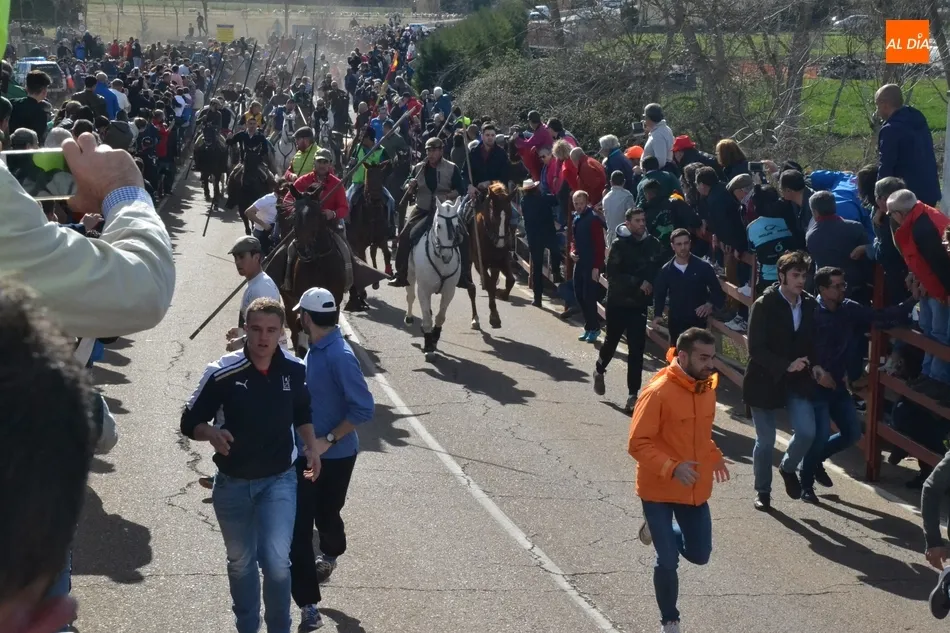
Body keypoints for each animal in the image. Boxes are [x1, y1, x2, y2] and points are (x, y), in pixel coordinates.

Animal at [405, 198, 465, 361]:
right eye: (439, 225)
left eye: (457, 226)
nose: (447, 256)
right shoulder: (423, 291)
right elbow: (427, 318)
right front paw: (428, 347)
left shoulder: (449, 292)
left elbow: (440, 317)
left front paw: (434, 338)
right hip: (410, 274)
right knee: (410, 296)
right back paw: (409, 318)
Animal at [465, 183, 517, 330]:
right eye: (494, 215)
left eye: (510, 214)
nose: (500, 242)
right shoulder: (479, 262)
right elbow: (490, 286)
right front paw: (494, 316)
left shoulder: (501, 260)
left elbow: (510, 280)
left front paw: (502, 294)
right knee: (471, 289)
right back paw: (475, 319)